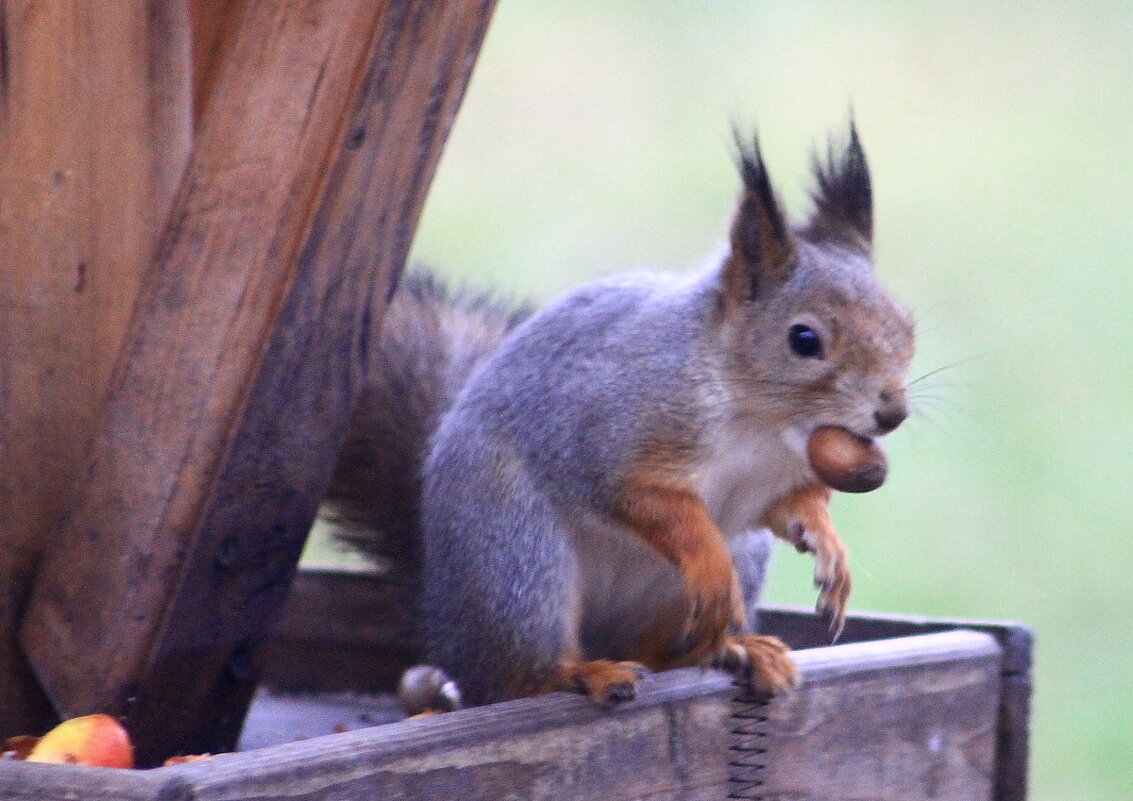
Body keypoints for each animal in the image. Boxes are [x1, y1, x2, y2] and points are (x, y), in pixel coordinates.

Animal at [317, 125, 910, 716]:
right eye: (803, 339)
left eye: (906, 324)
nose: (893, 413)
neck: (763, 424)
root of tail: (442, 618)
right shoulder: (614, 429)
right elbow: (643, 497)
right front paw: (707, 558)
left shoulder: (775, 482)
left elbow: (792, 508)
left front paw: (829, 544)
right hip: (515, 557)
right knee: (519, 676)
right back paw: (581, 673)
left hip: (735, 558)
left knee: (657, 651)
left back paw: (735, 649)